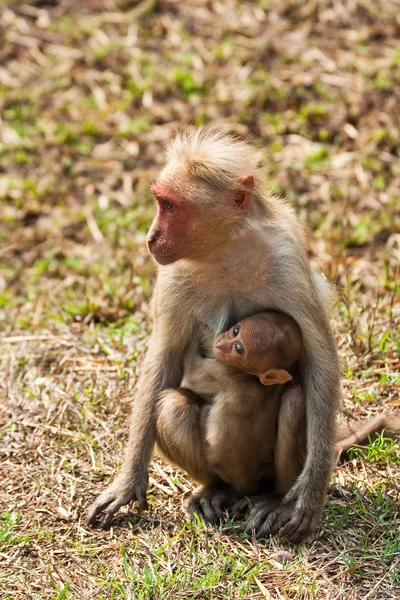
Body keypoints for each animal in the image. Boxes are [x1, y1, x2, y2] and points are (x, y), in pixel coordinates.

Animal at [84, 129, 356, 540]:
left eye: (169, 206)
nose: (151, 238)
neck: (226, 248)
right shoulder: (174, 275)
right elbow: (164, 361)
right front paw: (128, 482)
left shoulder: (285, 258)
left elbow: (320, 360)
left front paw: (310, 495)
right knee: (171, 406)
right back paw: (217, 490)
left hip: (263, 475)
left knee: (296, 402)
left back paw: (274, 500)